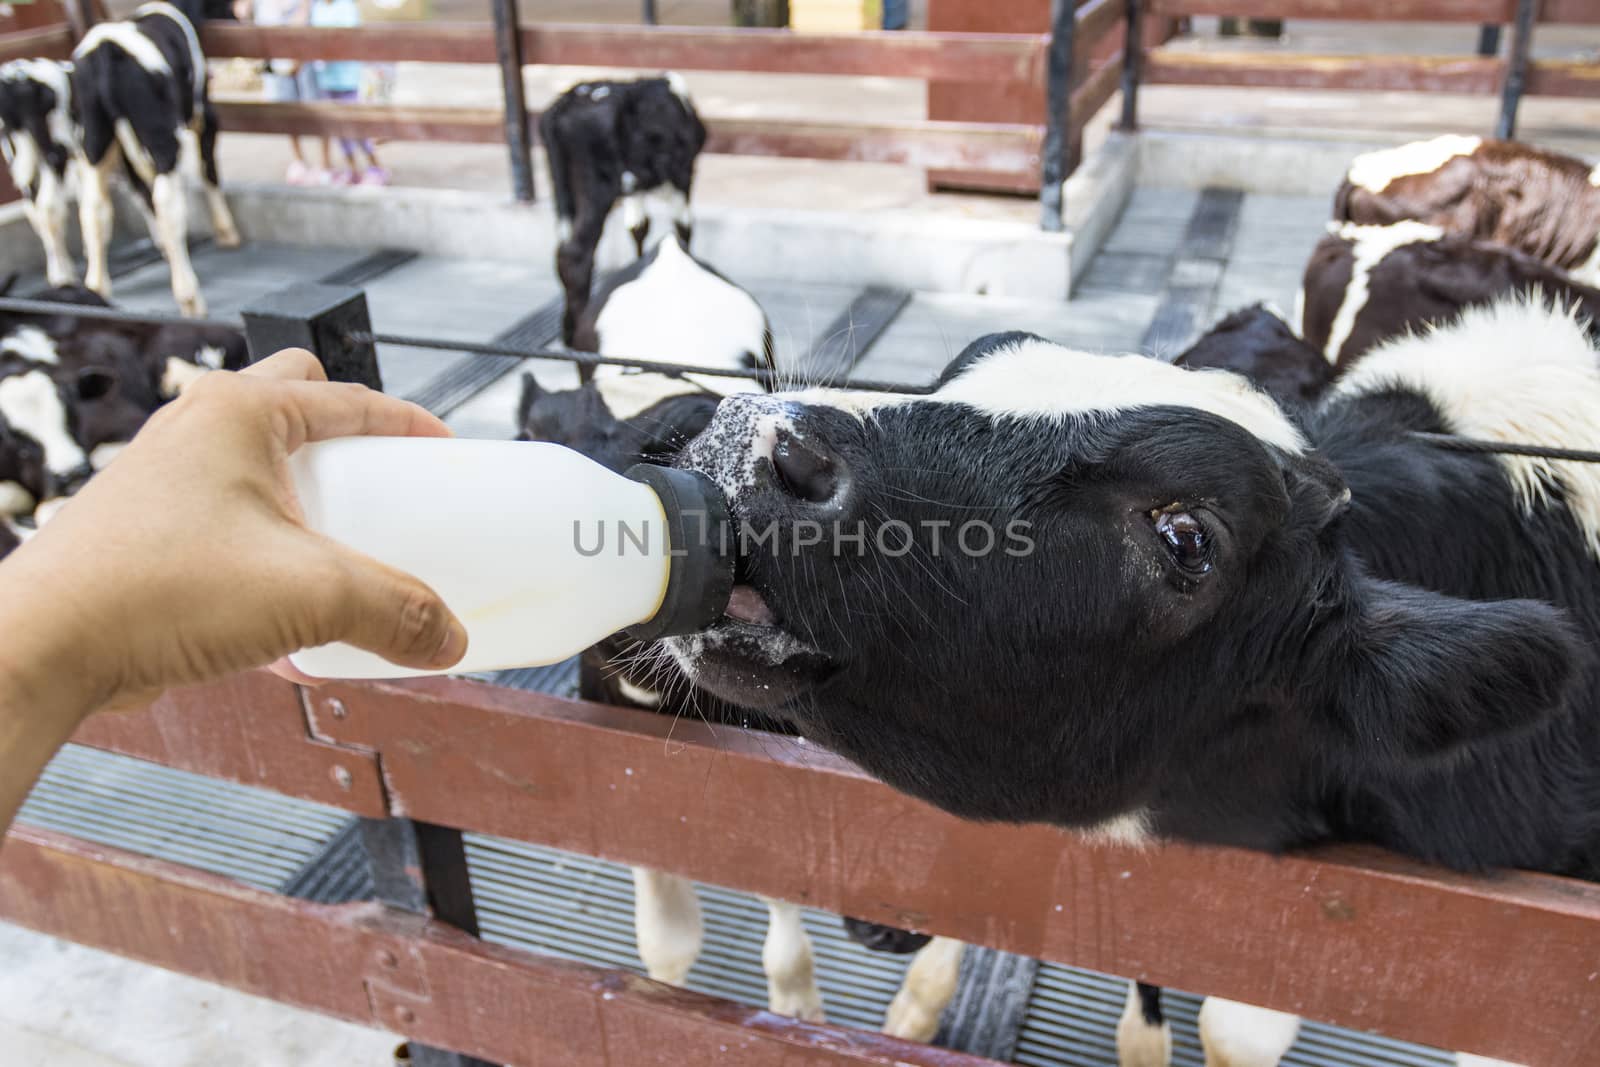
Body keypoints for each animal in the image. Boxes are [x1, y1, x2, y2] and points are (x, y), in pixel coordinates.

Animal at [74, 0, 240, 316]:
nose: (235, 19)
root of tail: (106, 46)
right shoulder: (204, 112)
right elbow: (208, 170)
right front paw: (227, 233)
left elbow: (140, 190)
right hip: (162, 137)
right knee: (167, 203)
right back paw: (190, 298)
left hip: (95, 140)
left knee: (94, 207)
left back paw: (97, 290)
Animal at [540, 75, 704, 342]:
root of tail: (568, 100)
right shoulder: (683, 173)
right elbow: (684, 228)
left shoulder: (634, 184)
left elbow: (638, 227)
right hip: (597, 185)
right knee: (575, 253)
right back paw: (579, 328)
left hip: (563, 187)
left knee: (562, 249)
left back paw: (567, 328)